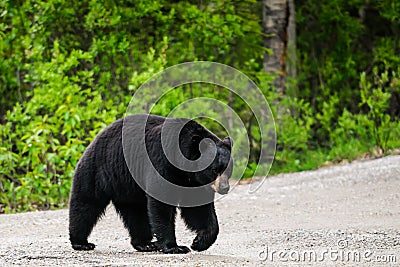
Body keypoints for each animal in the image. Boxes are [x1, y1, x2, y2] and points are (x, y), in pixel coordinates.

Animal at [67, 114, 233, 254]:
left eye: (228, 169)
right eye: (214, 169)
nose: (224, 188)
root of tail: (95, 140)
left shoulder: (194, 182)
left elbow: (199, 208)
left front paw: (199, 242)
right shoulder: (162, 164)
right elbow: (162, 204)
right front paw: (174, 247)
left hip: (128, 187)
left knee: (136, 213)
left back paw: (145, 244)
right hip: (100, 170)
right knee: (87, 203)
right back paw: (81, 242)